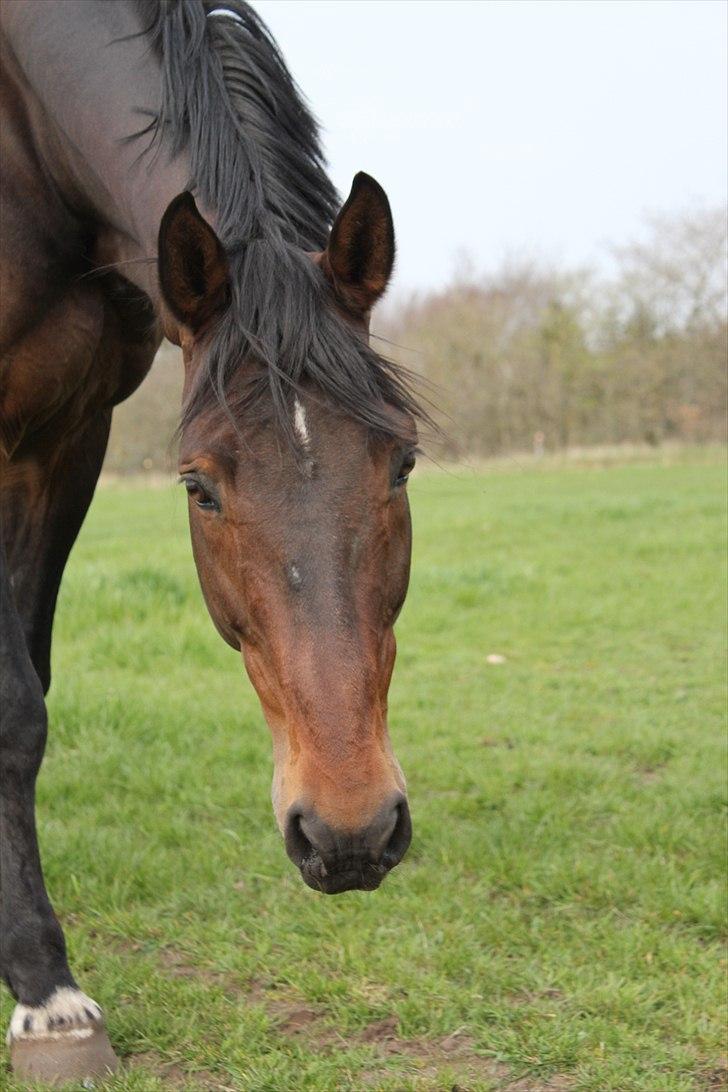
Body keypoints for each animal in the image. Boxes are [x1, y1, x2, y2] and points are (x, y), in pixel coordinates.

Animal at [0, 2, 427, 1083]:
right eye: (199, 487)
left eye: (402, 463)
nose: (349, 828)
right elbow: (13, 706)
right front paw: (45, 995)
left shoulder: (67, 441)